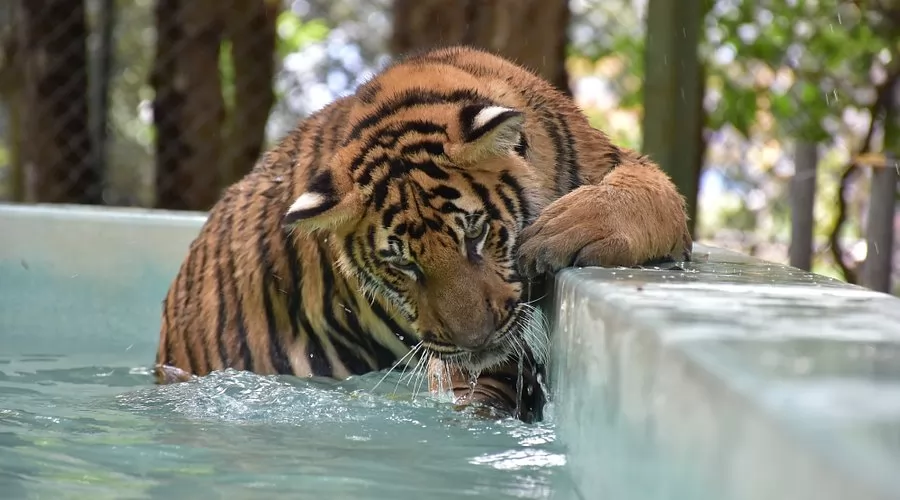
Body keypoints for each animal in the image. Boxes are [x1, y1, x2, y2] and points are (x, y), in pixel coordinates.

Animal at [154, 45, 692, 423]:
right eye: (403, 264)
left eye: (476, 235)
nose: (476, 340)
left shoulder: (618, 162)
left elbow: (647, 193)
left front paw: (561, 230)